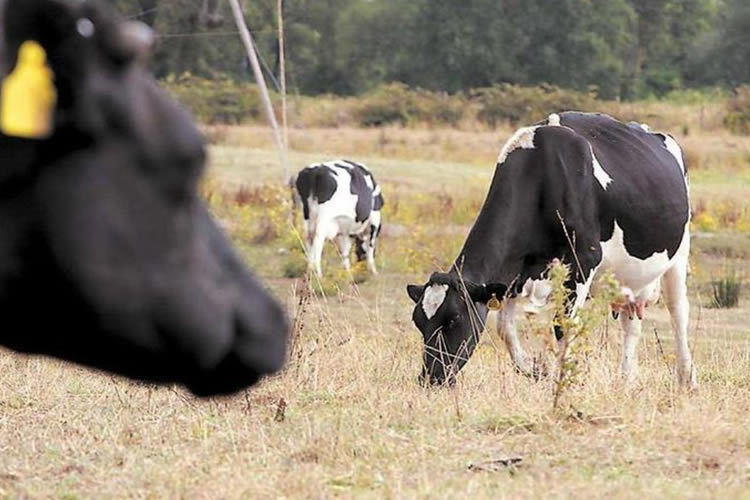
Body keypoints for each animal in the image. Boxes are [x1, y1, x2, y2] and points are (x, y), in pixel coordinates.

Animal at [408, 111, 696, 388]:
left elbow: (563, 327)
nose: (430, 378)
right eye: (418, 321)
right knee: (631, 324)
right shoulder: (514, 274)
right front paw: (536, 370)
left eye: (454, 319)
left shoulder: (583, 262)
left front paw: (563, 382)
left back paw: (686, 379)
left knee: (678, 314)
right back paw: (627, 379)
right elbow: (505, 329)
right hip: (628, 279)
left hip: (679, 256)